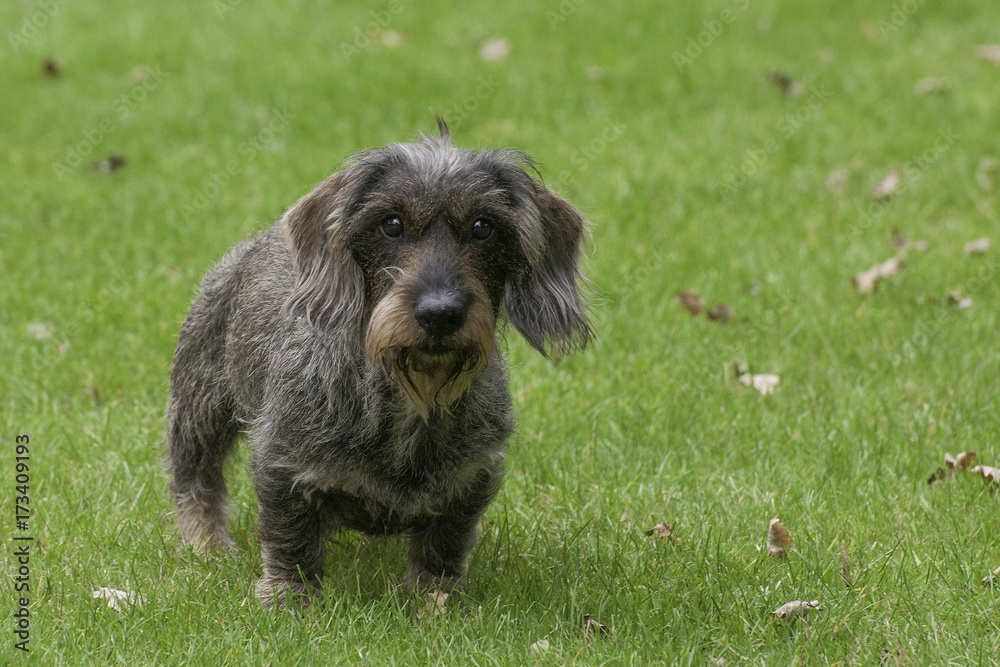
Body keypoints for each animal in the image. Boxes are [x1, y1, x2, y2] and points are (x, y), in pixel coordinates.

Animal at [166, 119, 591, 608]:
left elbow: (444, 546)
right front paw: (290, 599)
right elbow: (290, 537)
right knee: (195, 479)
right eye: (391, 224)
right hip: (199, 407)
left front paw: (436, 603)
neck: (407, 398)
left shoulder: (473, 477)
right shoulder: (282, 462)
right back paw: (206, 546)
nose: (440, 314)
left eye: (484, 227)